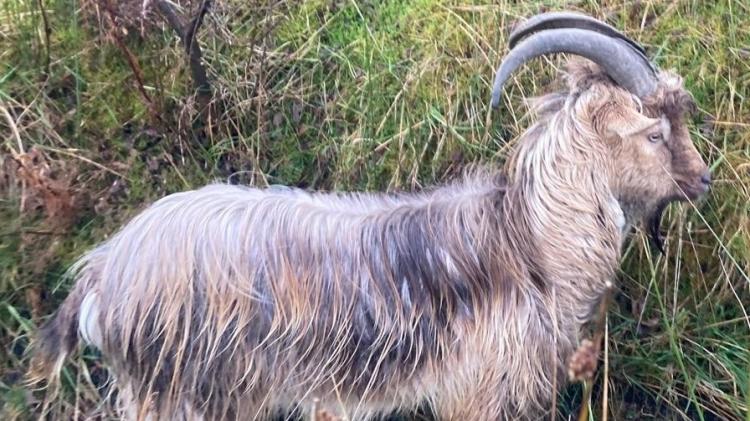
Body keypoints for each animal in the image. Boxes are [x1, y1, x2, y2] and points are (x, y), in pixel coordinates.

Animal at [30, 11, 710, 420]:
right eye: (654, 133)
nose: (703, 179)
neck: (531, 248)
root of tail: (104, 271)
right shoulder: (476, 393)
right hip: (186, 395)